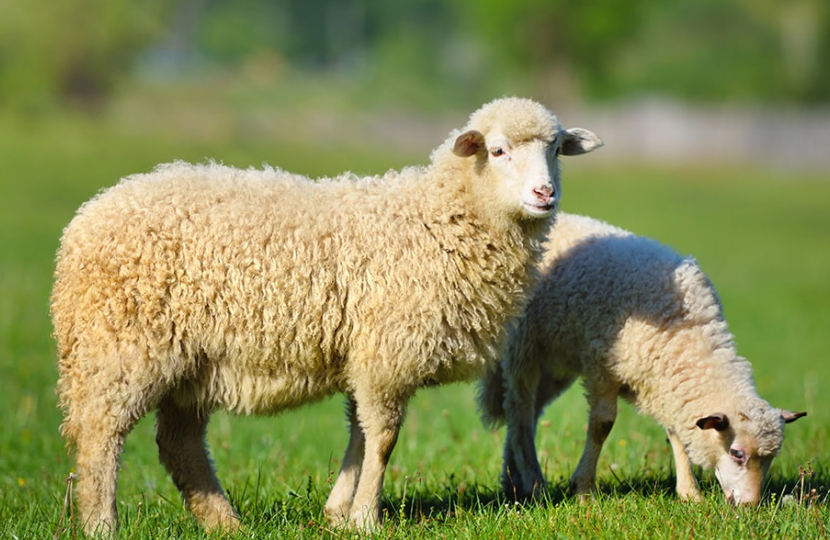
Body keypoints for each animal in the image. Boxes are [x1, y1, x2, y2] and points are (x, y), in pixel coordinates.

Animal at [50, 97, 603, 535]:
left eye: (556, 149)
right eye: (499, 150)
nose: (544, 194)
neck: (439, 220)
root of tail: (84, 221)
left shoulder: (367, 353)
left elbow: (359, 431)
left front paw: (338, 511)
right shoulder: (386, 352)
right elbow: (383, 438)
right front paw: (366, 517)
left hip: (192, 362)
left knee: (178, 444)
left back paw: (225, 523)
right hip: (120, 347)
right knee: (100, 437)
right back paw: (102, 525)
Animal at [478, 212, 806, 505]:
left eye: (771, 458)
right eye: (737, 453)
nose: (750, 505)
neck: (687, 333)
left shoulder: (664, 381)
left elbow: (676, 432)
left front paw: (689, 493)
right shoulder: (603, 368)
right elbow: (602, 426)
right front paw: (583, 489)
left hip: (555, 364)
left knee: (527, 412)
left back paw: (513, 481)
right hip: (524, 345)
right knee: (519, 411)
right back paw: (533, 483)